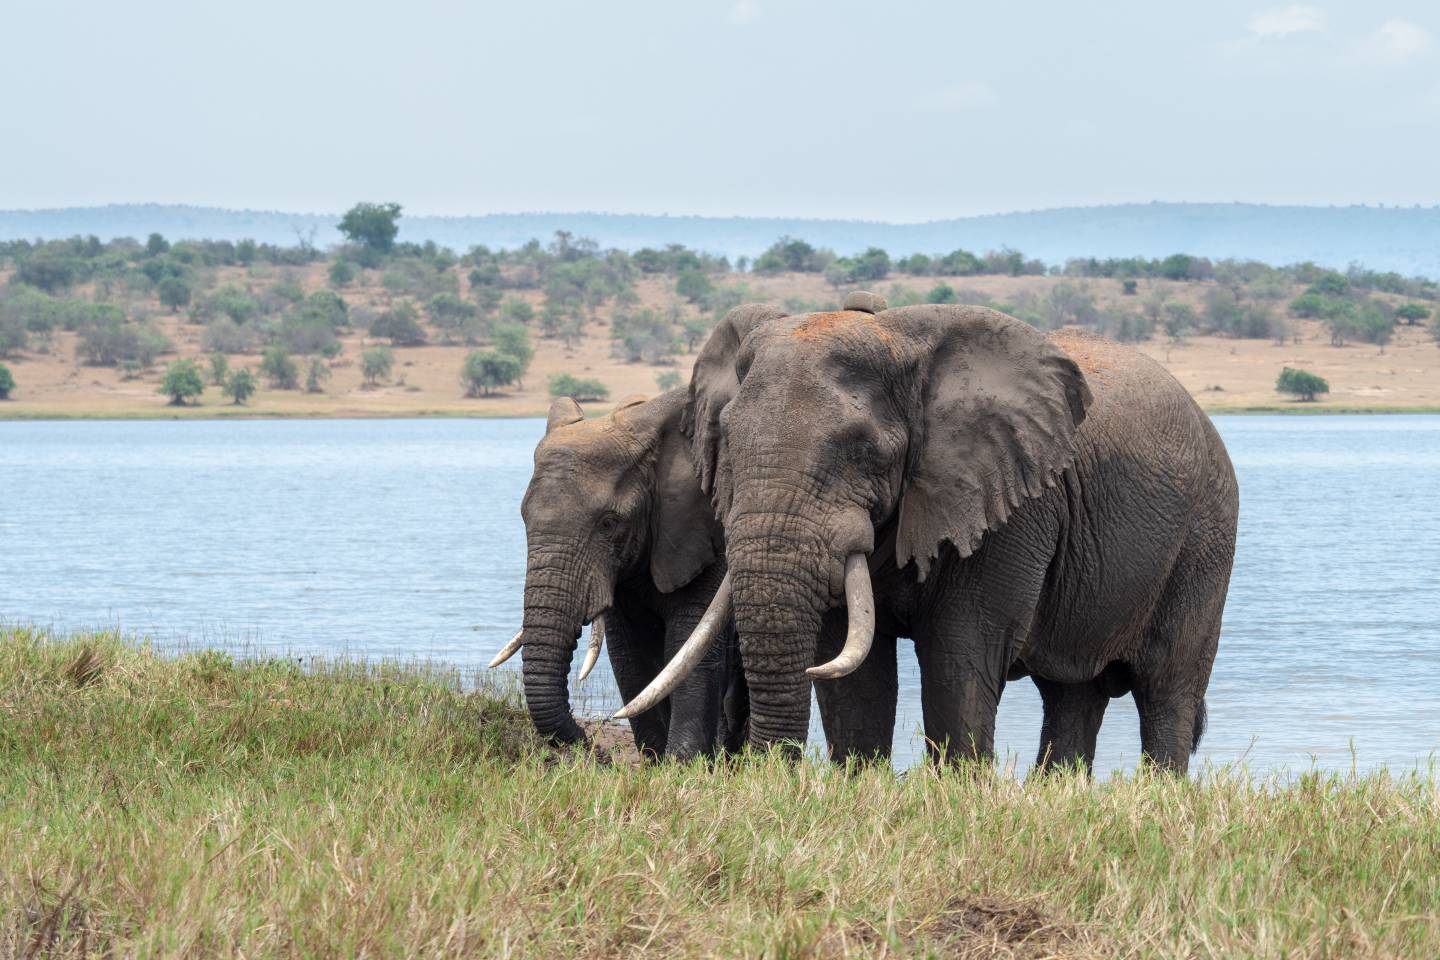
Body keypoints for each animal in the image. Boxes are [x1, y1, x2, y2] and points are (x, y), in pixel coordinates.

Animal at [492, 388, 743, 759]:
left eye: (609, 523)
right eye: (524, 517)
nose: (592, 747)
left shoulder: (707, 538)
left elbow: (688, 642)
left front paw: (682, 763)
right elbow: (630, 653)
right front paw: (656, 760)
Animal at [619, 295, 1238, 771]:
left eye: (864, 450)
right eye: (726, 441)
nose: (766, 772)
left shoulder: (1008, 502)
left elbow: (960, 651)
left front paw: (960, 792)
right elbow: (853, 671)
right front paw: (859, 785)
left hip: (1206, 539)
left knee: (1167, 691)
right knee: (1071, 694)